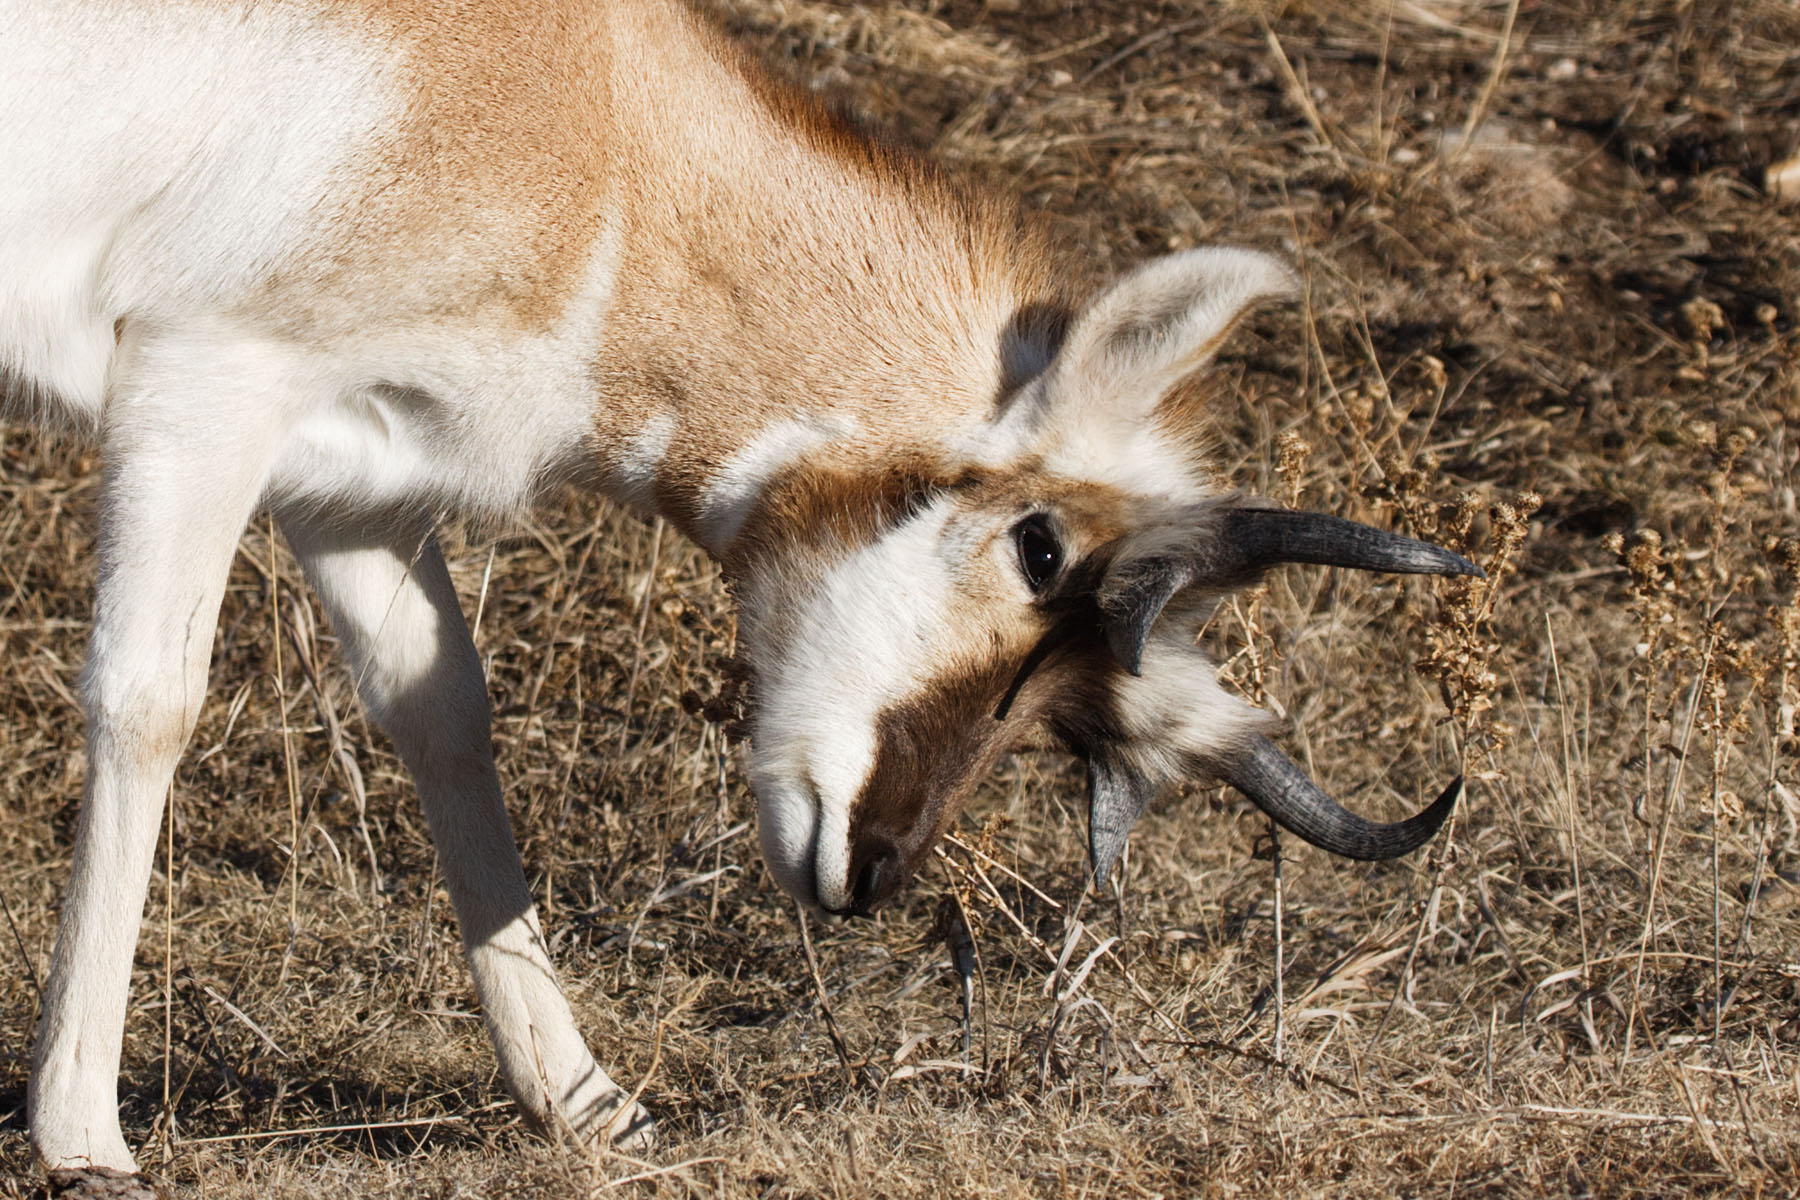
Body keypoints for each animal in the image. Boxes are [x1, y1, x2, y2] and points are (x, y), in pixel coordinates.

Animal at [3, 0, 1476, 1187]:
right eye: (1041, 550)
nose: (871, 870)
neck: (597, 116)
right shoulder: (202, 383)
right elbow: (150, 707)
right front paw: (83, 1139)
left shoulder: (349, 477)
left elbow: (445, 713)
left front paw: (589, 1105)